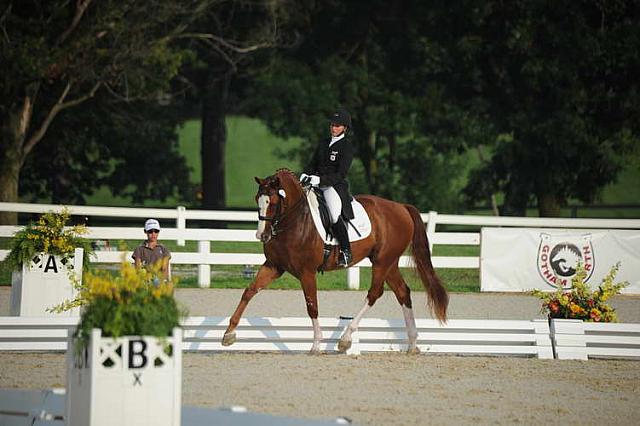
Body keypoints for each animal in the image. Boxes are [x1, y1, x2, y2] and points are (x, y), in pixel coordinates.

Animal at [222, 169, 448, 352]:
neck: (295, 220)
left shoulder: (307, 272)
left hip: (382, 262)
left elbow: (312, 305)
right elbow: (249, 291)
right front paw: (228, 334)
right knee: (403, 292)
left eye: (274, 202)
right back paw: (412, 344)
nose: (262, 235)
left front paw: (316, 345)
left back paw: (346, 339)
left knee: (374, 293)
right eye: (257, 199)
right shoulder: (274, 266)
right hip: (389, 263)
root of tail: (402, 207)